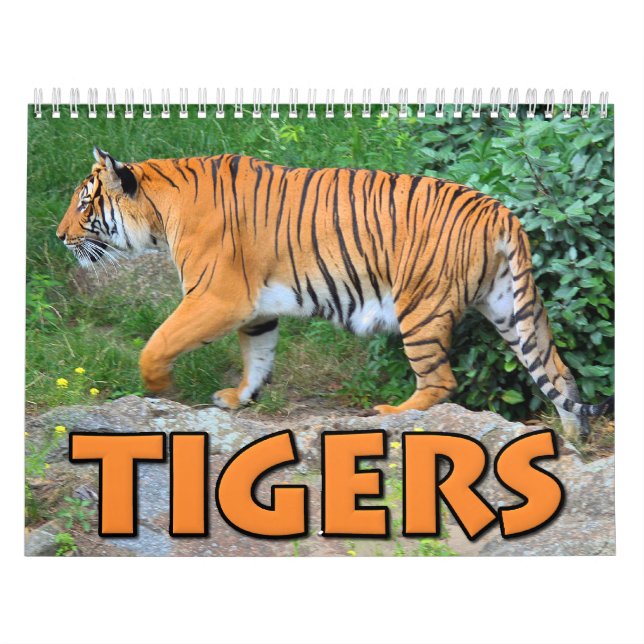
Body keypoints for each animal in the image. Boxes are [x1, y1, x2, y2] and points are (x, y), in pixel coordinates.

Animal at [56, 147, 613, 438]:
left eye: (84, 204)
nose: (60, 236)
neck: (159, 212)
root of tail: (500, 210)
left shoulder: (216, 297)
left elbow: (158, 342)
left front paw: (160, 391)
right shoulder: (255, 308)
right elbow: (258, 355)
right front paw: (239, 397)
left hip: (421, 308)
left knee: (441, 381)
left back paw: (391, 414)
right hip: (511, 310)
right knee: (557, 373)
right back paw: (573, 441)